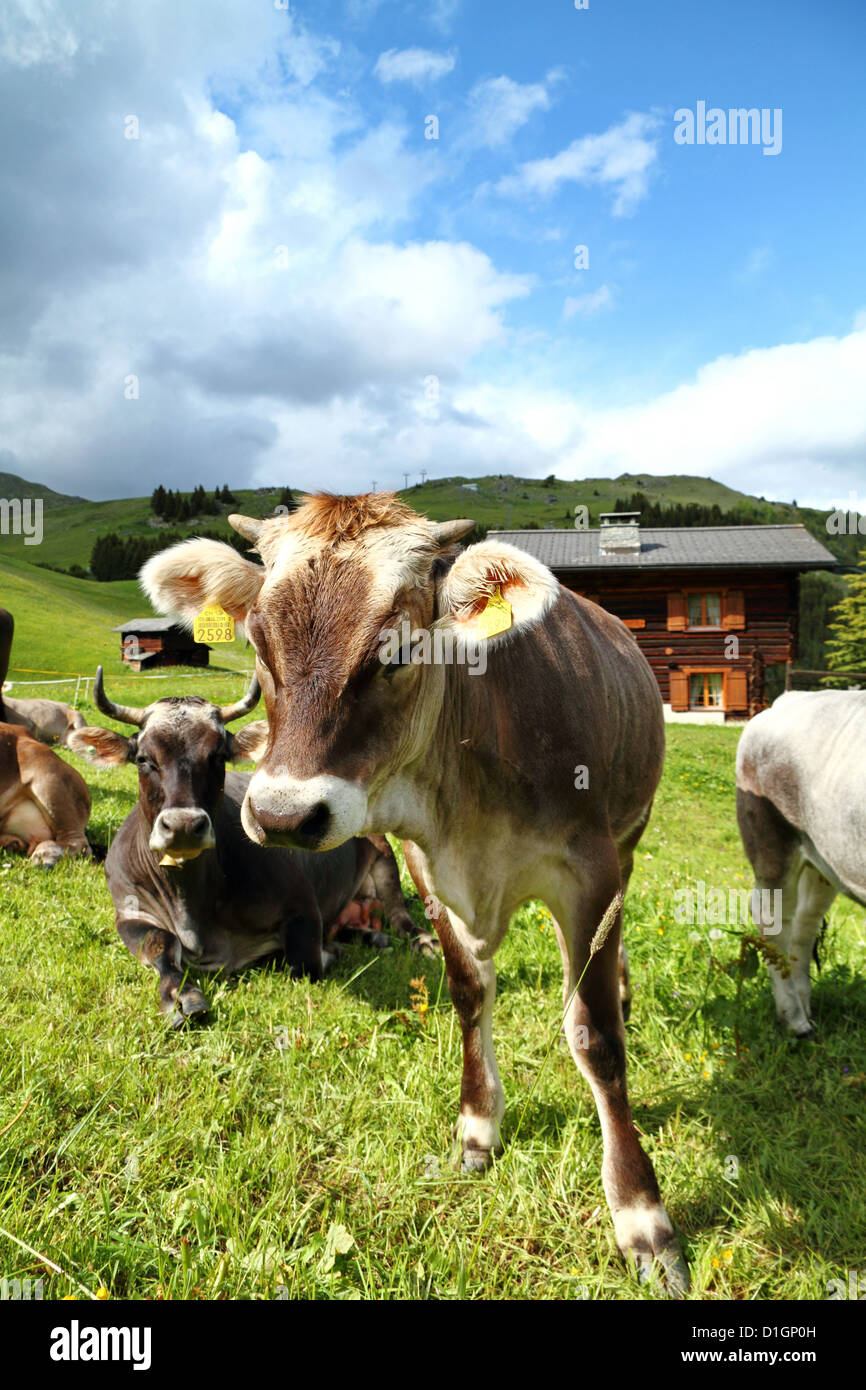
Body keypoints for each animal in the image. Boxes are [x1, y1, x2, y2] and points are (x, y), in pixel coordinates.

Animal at [68, 667, 420, 1026]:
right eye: (143, 759)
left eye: (218, 756)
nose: (183, 826)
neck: (190, 905)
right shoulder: (129, 912)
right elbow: (160, 943)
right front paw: (179, 995)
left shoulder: (303, 906)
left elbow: (303, 965)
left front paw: (328, 951)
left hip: (385, 857)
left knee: (400, 915)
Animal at [140, 492, 688, 1294]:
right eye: (259, 645)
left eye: (397, 651)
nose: (283, 815)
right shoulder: (429, 871)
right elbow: (468, 994)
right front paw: (478, 1130)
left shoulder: (589, 874)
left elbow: (594, 1035)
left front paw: (642, 1217)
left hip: (629, 838)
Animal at [736, 689, 866, 1038]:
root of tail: (791, 697)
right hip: (771, 843)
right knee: (773, 919)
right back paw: (794, 1019)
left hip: (824, 860)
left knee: (805, 923)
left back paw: (804, 1003)